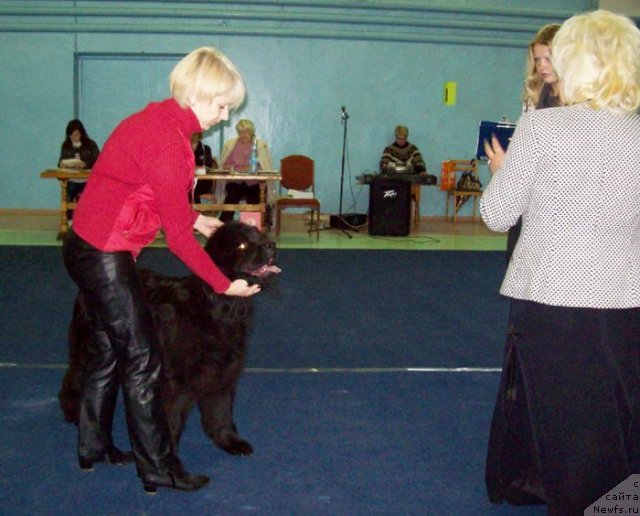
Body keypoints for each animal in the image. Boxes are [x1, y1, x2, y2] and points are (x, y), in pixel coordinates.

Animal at [58, 222, 278, 456]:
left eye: (259, 236)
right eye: (242, 245)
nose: (271, 245)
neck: (218, 308)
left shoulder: (222, 372)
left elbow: (221, 411)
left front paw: (228, 440)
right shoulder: (174, 382)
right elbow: (172, 419)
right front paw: (168, 457)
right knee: (77, 377)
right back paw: (73, 412)